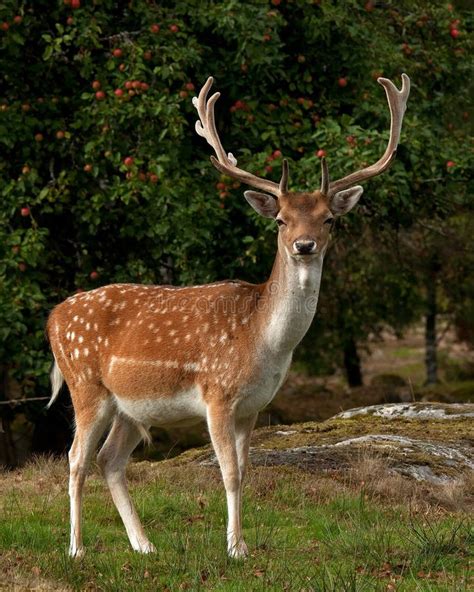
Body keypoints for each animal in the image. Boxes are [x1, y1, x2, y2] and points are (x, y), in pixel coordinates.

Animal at [49, 71, 412, 556]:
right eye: (280, 219)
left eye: (329, 220)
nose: (304, 245)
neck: (263, 342)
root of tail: (53, 316)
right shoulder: (217, 394)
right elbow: (229, 473)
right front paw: (235, 549)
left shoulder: (253, 406)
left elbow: (246, 470)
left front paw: (240, 542)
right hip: (85, 385)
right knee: (75, 458)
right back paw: (77, 549)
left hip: (130, 406)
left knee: (109, 459)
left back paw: (145, 545)